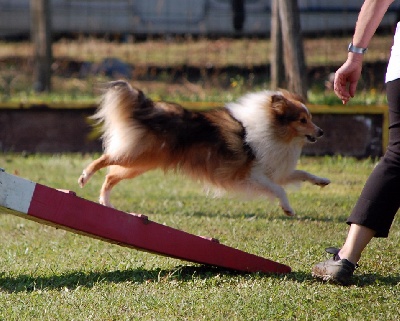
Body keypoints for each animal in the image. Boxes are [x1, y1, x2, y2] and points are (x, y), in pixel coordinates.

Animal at [77, 80, 328, 215]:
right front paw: (287, 209)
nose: (321, 132)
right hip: (138, 157)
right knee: (105, 159)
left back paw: (106, 202)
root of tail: (148, 109)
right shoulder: (252, 176)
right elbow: (279, 190)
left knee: (111, 176)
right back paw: (84, 177)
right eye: (302, 120)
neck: (273, 128)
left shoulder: (276, 171)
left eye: (310, 118)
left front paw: (322, 181)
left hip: (140, 164)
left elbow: (301, 173)